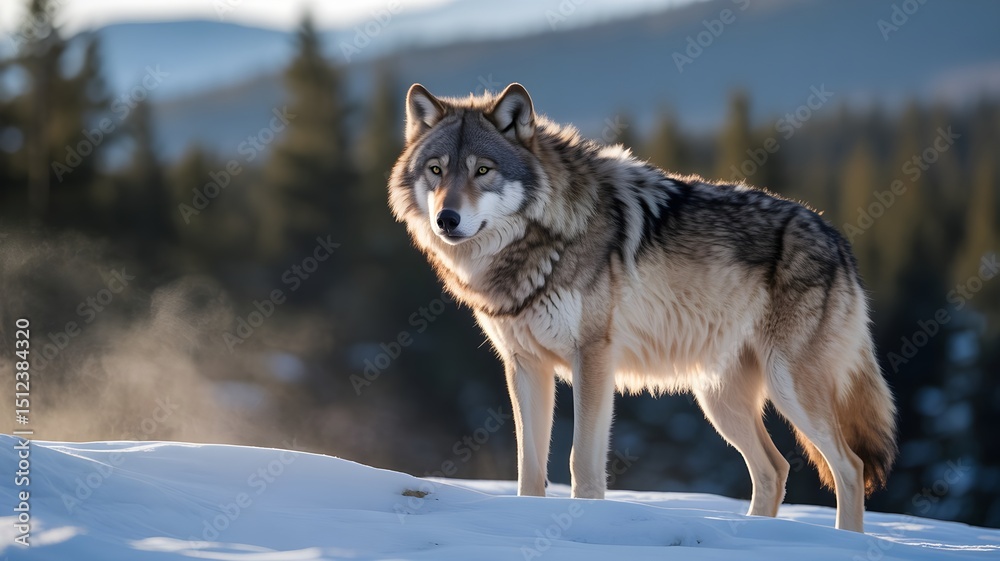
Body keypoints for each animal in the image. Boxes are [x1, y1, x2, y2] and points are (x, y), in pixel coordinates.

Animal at [388, 83, 897, 532]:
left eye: (482, 170)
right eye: (436, 170)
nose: (446, 219)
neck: (542, 241)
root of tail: (838, 239)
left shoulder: (593, 358)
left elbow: (581, 463)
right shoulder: (525, 365)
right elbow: (528, 469)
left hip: (789, 389)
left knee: (850, 467)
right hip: (719, 400)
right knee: (774, 470)